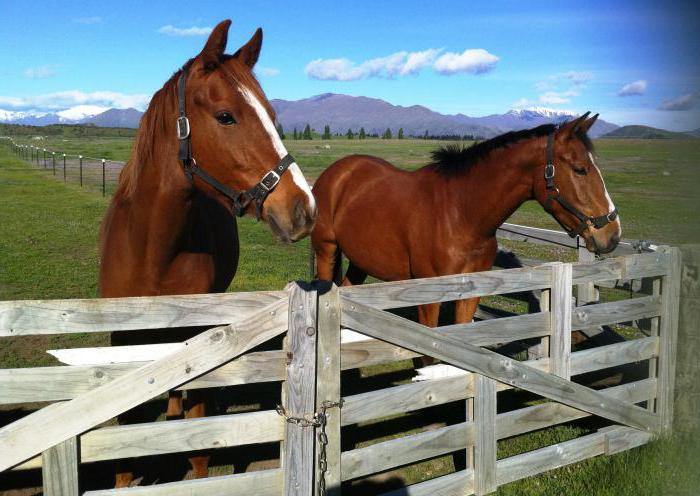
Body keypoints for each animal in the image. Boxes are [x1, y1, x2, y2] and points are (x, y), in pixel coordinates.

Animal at [98, 20, 314, 488]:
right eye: (226, 116)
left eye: (273, 116)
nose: (304, 207)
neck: (154, 251)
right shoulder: (121, 341)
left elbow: (198, 437)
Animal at [314, 114, 620, 328]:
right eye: (580, 169)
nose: (612, 234)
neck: (461, 213)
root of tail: (337, 171)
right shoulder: (429, 297)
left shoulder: (471, 294)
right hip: (326, 251)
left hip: (360, 259)